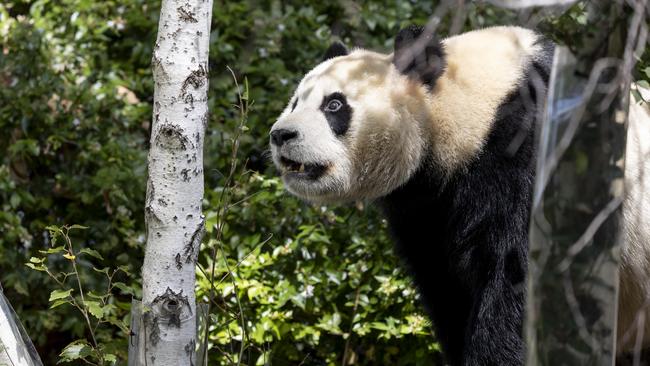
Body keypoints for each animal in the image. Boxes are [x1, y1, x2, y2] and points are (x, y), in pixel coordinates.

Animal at [266, 24, 644, 364]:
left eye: (334, 105)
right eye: (296, 101)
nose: (281, 135)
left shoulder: (530, 146)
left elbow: (518, 273)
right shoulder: (426, 205)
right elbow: (445, 288)